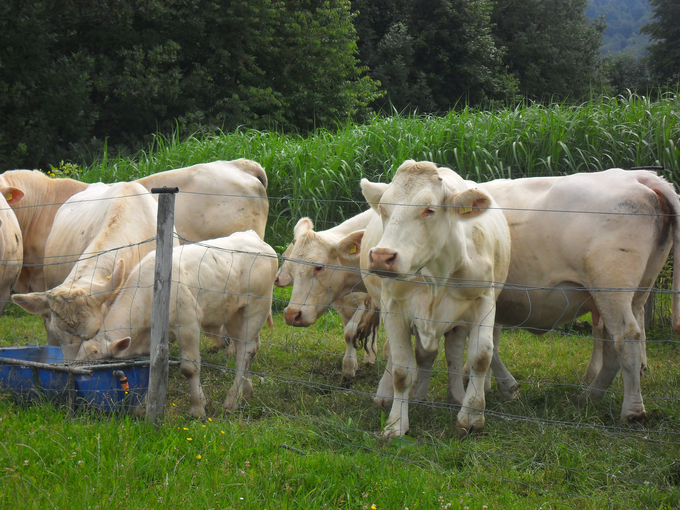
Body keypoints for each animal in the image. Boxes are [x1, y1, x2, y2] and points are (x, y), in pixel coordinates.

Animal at [75, 231, 276, 418]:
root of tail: (253, 236)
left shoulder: (188, 324)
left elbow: (190, 368)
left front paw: (197, 409)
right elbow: (149, 370)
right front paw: (142, 407)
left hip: (256, 307)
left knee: (244, 351)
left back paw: (231, 401)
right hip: (234, 314)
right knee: (250, 348)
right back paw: (247, 391)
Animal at [278, 209, 380, 376]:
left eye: (319, 267)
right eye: (291, 267)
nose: (292, 315)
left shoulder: (363, 303)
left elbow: (350, 331)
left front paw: (349, 366)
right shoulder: (344, 307)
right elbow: (348, 333)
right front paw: (350, 365)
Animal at [362, 160, 510, 438]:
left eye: (429, 209)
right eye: (384, 209)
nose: (381, 257)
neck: (437, 273)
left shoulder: (484, 300)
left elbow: (480, 357)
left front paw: (471, 416)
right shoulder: (393, 308)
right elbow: (401, 370)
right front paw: (396, 424)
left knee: (452, 353)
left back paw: (456, 396)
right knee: (408, 355)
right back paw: (395, 395)